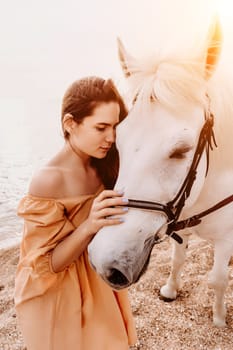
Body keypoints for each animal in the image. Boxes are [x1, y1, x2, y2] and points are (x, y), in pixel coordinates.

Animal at [88, 6, 233, 328]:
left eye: (181, 150)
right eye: (118, 140)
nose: (106, 263)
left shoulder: (227, 238)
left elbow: (217, 279)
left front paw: (218, 318)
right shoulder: (181, 221)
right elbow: (177, 259)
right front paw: (170, 289)